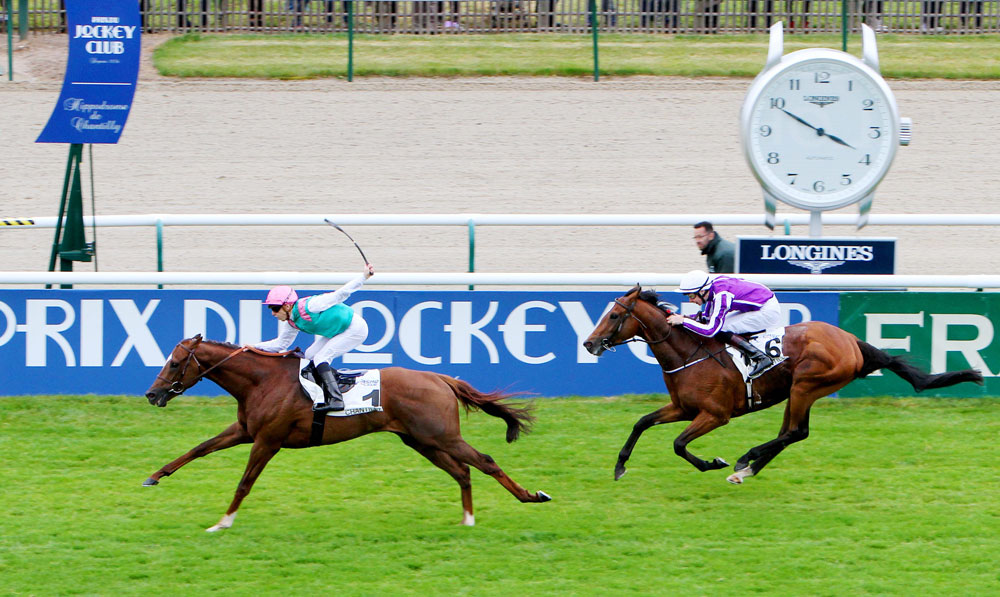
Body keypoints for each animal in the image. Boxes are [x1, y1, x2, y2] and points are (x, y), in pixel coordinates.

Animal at [141, 336, 552, 532]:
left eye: (174, 363)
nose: (152, 394)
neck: (263, 381)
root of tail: (441, 378)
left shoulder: (268, 440)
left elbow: (244, 483)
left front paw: (222, 522)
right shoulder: (245, 430)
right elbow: (200, 448)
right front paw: (155, 476)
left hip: (441, 436)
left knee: (485, 461)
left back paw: (532, 496)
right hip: (421, 440)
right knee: (462, 471)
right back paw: (467, 519)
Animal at [584, 284, 980, 484]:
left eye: (615, 315)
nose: (589, 343)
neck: (689, 354)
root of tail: (852, 340)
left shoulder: (714, 415)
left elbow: (679, 445)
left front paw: (714, 462)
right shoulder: (683, 407)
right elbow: (642, 422)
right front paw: (620, 466)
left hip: (808, 384)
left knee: (796, 432)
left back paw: (745, 459)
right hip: (796, 391)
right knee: (790, 432)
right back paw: (748, 469)